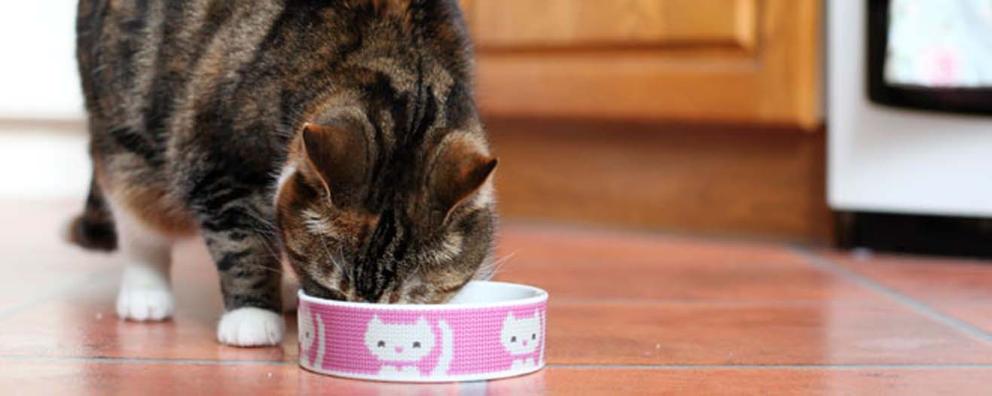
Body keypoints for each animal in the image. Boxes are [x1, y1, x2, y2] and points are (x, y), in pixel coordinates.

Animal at [70, 0, 500, 346]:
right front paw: (253, 317)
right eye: (332, 287)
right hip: (125, 135)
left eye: (407, 300)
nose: (358, 318)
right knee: (138, 221)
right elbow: (242, 244)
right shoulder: (219, 162)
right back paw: (145, 295)